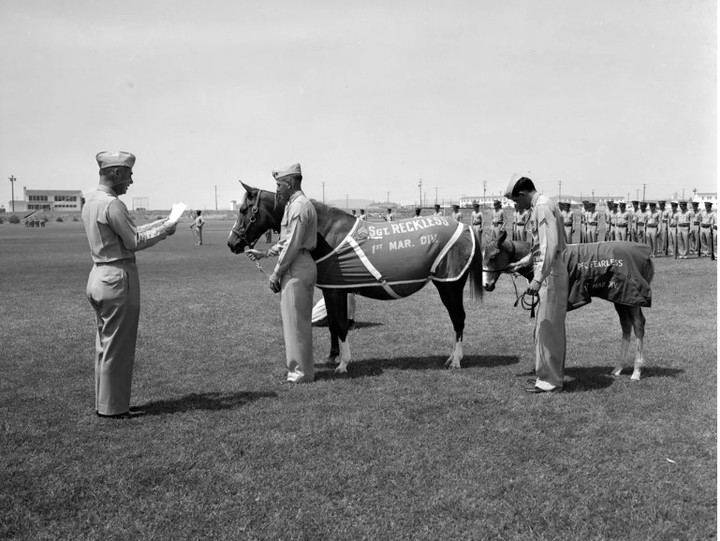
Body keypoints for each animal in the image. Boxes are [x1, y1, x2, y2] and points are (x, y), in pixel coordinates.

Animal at [226, 181, 484, 372]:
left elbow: (340, 325)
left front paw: (343, 363)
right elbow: (332, 324)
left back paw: (456, 360)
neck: (325, 232)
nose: (232, 243)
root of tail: (466, 228)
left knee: (458, 319)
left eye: (243, 210)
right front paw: (332, 357)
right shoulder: (331, 289)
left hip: (449, 286)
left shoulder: (335, 291)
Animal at [480, 229, 656, 380]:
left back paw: (636, 371)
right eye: (482, 256)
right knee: (626, 325)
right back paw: (618, 368)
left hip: (632, 298)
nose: (486, 285)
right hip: (621, 298)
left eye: (493, 256)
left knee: (638, 324)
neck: (541, 263)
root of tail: (646, 255)